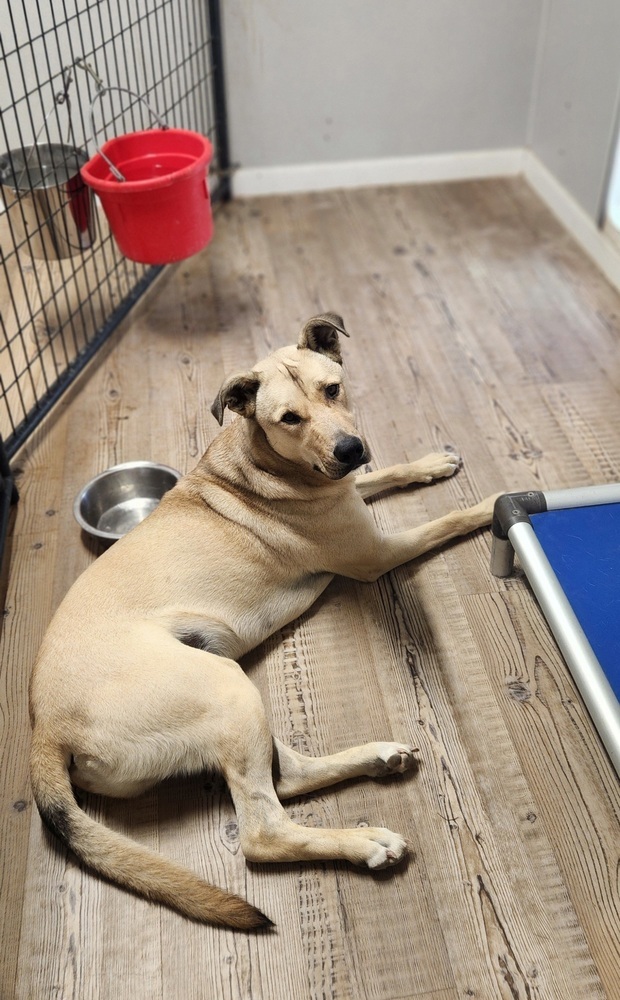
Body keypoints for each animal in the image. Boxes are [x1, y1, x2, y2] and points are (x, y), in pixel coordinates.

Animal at [29, 312, 496, 928]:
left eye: (333, 389)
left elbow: (387, 473)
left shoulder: (351, 490)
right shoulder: (375, 553)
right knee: (262, 831)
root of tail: (45, 729)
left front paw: (431, 463)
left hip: (232, 697)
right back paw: (365, 843)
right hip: (223, 688)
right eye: (288, 419)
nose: (350, 447)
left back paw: (378, 758)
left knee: (286, 776)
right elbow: (449, 520)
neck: (269, 461)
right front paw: (499, 504)